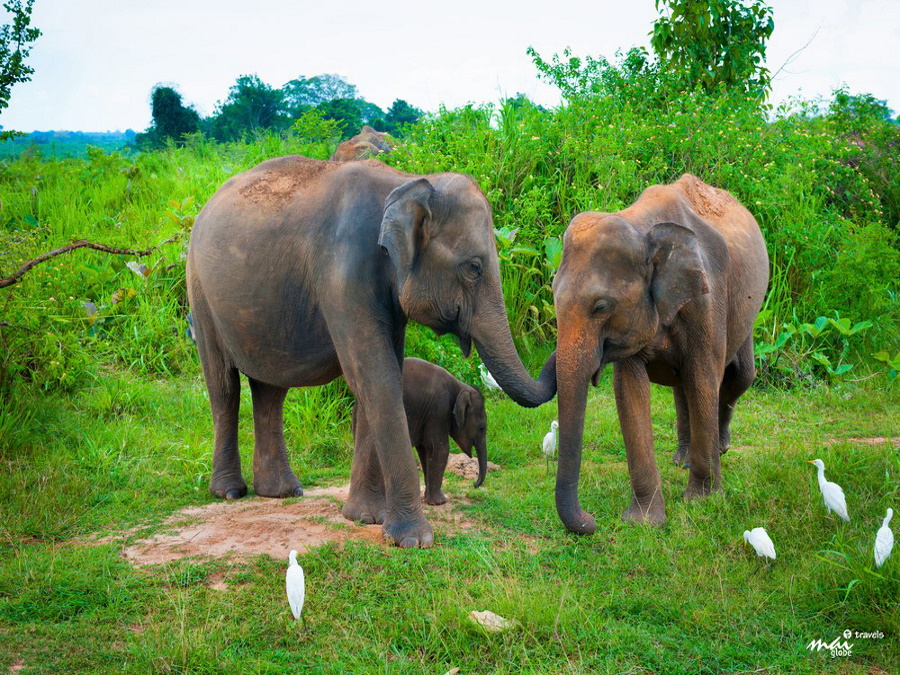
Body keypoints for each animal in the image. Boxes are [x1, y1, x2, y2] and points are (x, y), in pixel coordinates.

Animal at [352, 360, 488, 508]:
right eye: (482, 428)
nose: (475, 484)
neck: (459, 386)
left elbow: (425, 450)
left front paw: (429, 499)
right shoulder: (439, 410)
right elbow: (440, 449)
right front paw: (440, 502)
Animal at [552, 174, 768, 532]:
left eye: (601, 307)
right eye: (553, 294)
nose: (591, 520)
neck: (640, 226)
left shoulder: (706, 298)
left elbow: (704, 377)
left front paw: (703, 502)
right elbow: (629, 391)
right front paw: (644, 522)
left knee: (739, 377)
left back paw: (721, 448)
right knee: (684, 386)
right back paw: (682, 460)